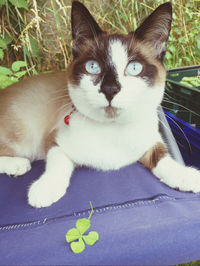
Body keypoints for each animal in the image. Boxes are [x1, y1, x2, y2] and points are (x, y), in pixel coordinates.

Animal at [0, 1, 200, 208]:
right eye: (93, 67)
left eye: (134, 68)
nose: (110, 89)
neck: (112, 130)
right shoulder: (53, 139)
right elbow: (58, 163)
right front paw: (45, 190)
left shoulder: (150, 140)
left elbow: (162, 157)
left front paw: (186, 176)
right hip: (25, 137)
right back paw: (18, 165)